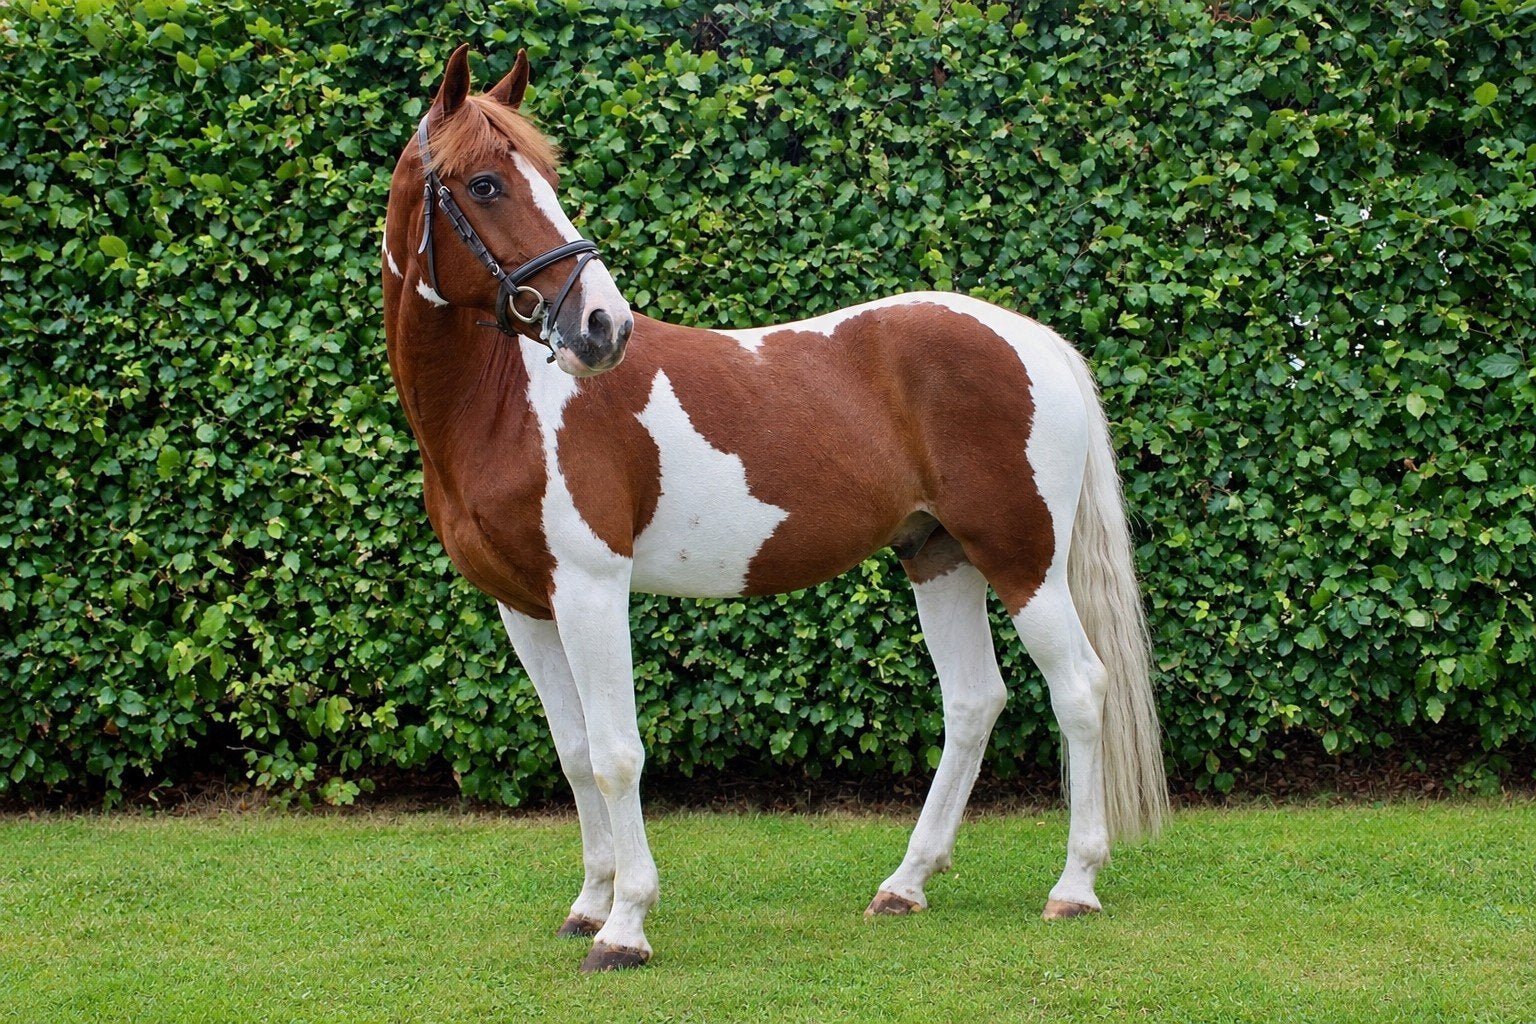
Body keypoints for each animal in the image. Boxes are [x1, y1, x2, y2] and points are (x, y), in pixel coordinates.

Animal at [381, 45, 1169, 972]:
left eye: (545, 175)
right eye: (487, 184)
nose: (602, 326)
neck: (508, 404)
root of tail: (1035, 340)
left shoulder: (591, 590)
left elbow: (616, 755)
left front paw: (625, 926)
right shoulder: (525, 606)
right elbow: (574, 756)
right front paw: (588, 905)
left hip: (1023, 560)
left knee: (1079, 688)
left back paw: (1073, 886)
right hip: (938, 556)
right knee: (974, 702)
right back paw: (905, 885)